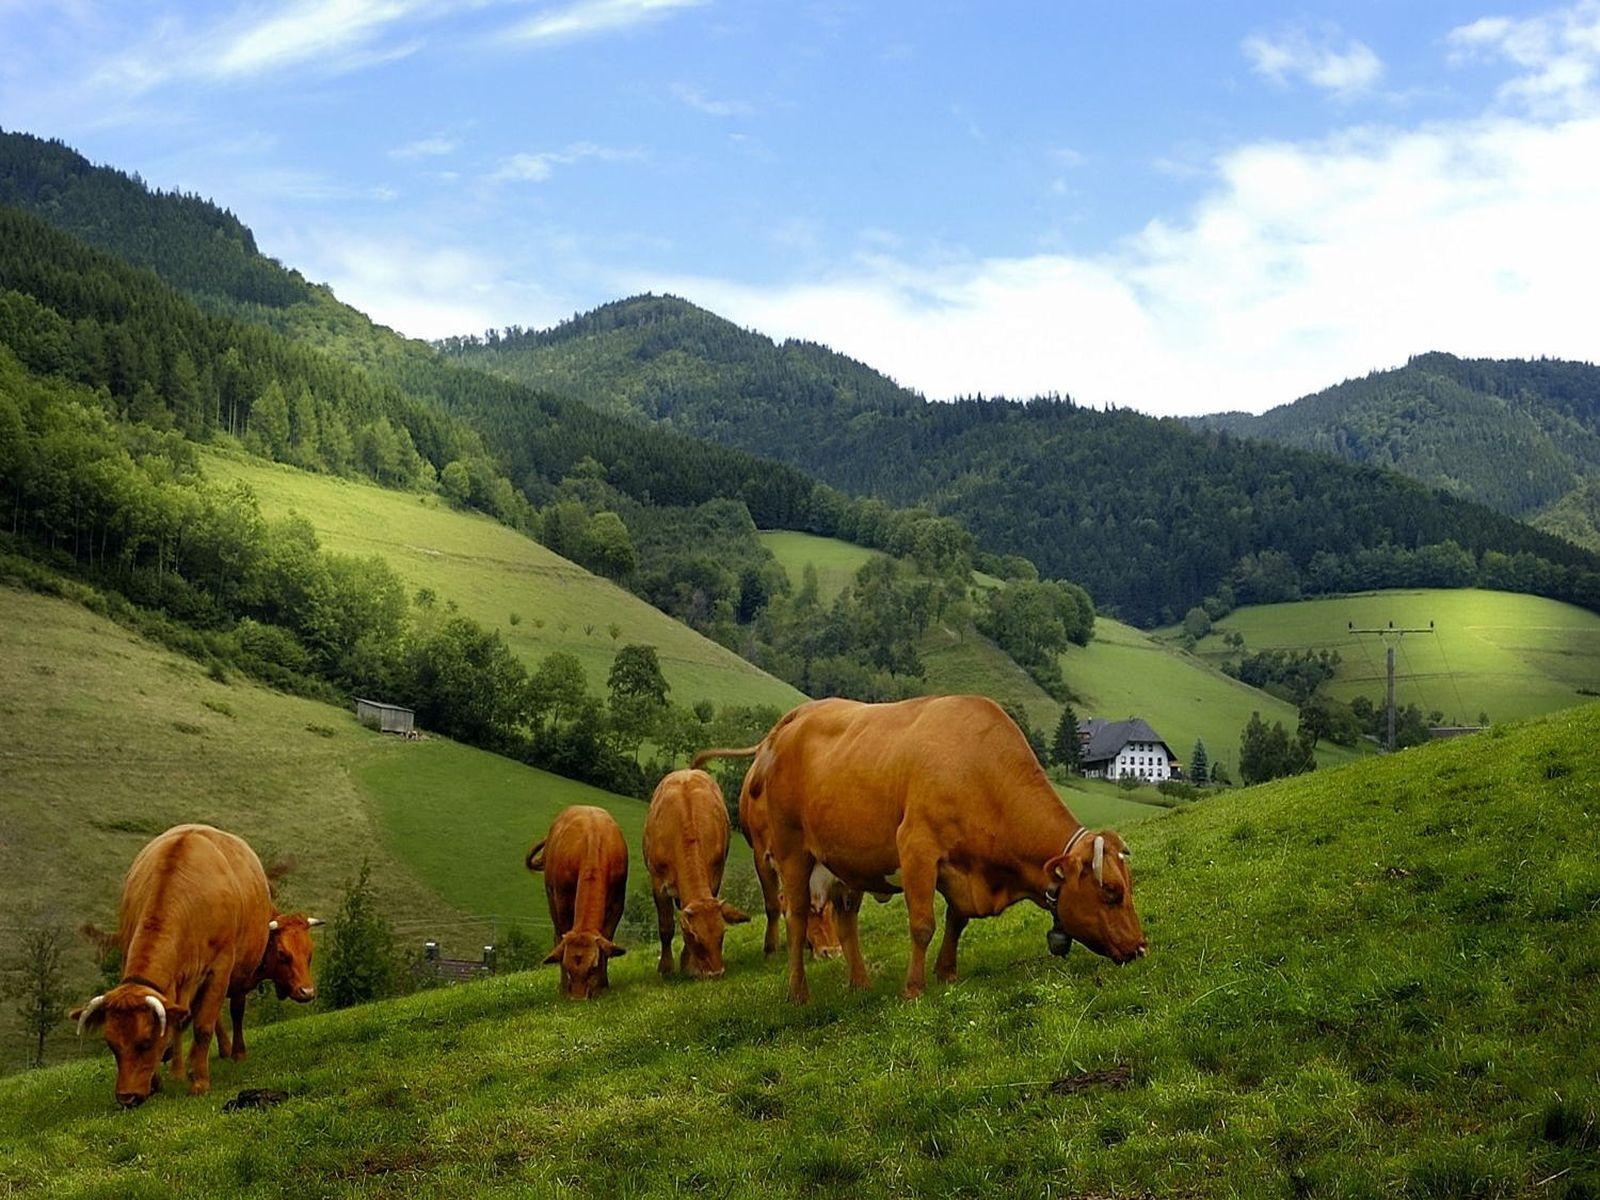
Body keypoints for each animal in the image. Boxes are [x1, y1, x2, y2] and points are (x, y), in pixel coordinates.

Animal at [70, 824, 322, 1105]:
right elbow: (179, 1021)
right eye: (111, 1045)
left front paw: (200, 1080)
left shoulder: (222, 970)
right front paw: (167, 1075)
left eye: (145, 1042)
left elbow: (205, 1025)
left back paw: (231, 1053)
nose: (127, 1097)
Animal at [525, 806, 629, 999]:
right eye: (567, 967)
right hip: (551, 897)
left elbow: (608, 938)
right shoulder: (562, 900)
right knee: (556, 936)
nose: (577, 998)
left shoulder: (618, 903)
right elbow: (562, 934)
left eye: (593, 968)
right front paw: (565, 987)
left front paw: (602, 984)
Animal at [642, 770, 750, 979]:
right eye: (695, 937)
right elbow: (666, 926)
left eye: (722, 935)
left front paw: (688, 964)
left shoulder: (715, 875)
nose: (716, 972)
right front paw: (665, 968)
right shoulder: (658, 883)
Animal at [694, 695, 1147, 1005]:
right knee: (797, 916)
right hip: (791, 851)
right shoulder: (917, 849)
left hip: (845, 862)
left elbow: (957, 919)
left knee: (845, 920)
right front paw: (914, 987)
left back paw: (860, 983)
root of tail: (797, 716)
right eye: (1111, 892)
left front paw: (946, 971)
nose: (1141, 947)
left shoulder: (961, 867)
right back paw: (798, 991)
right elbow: (923, 924)